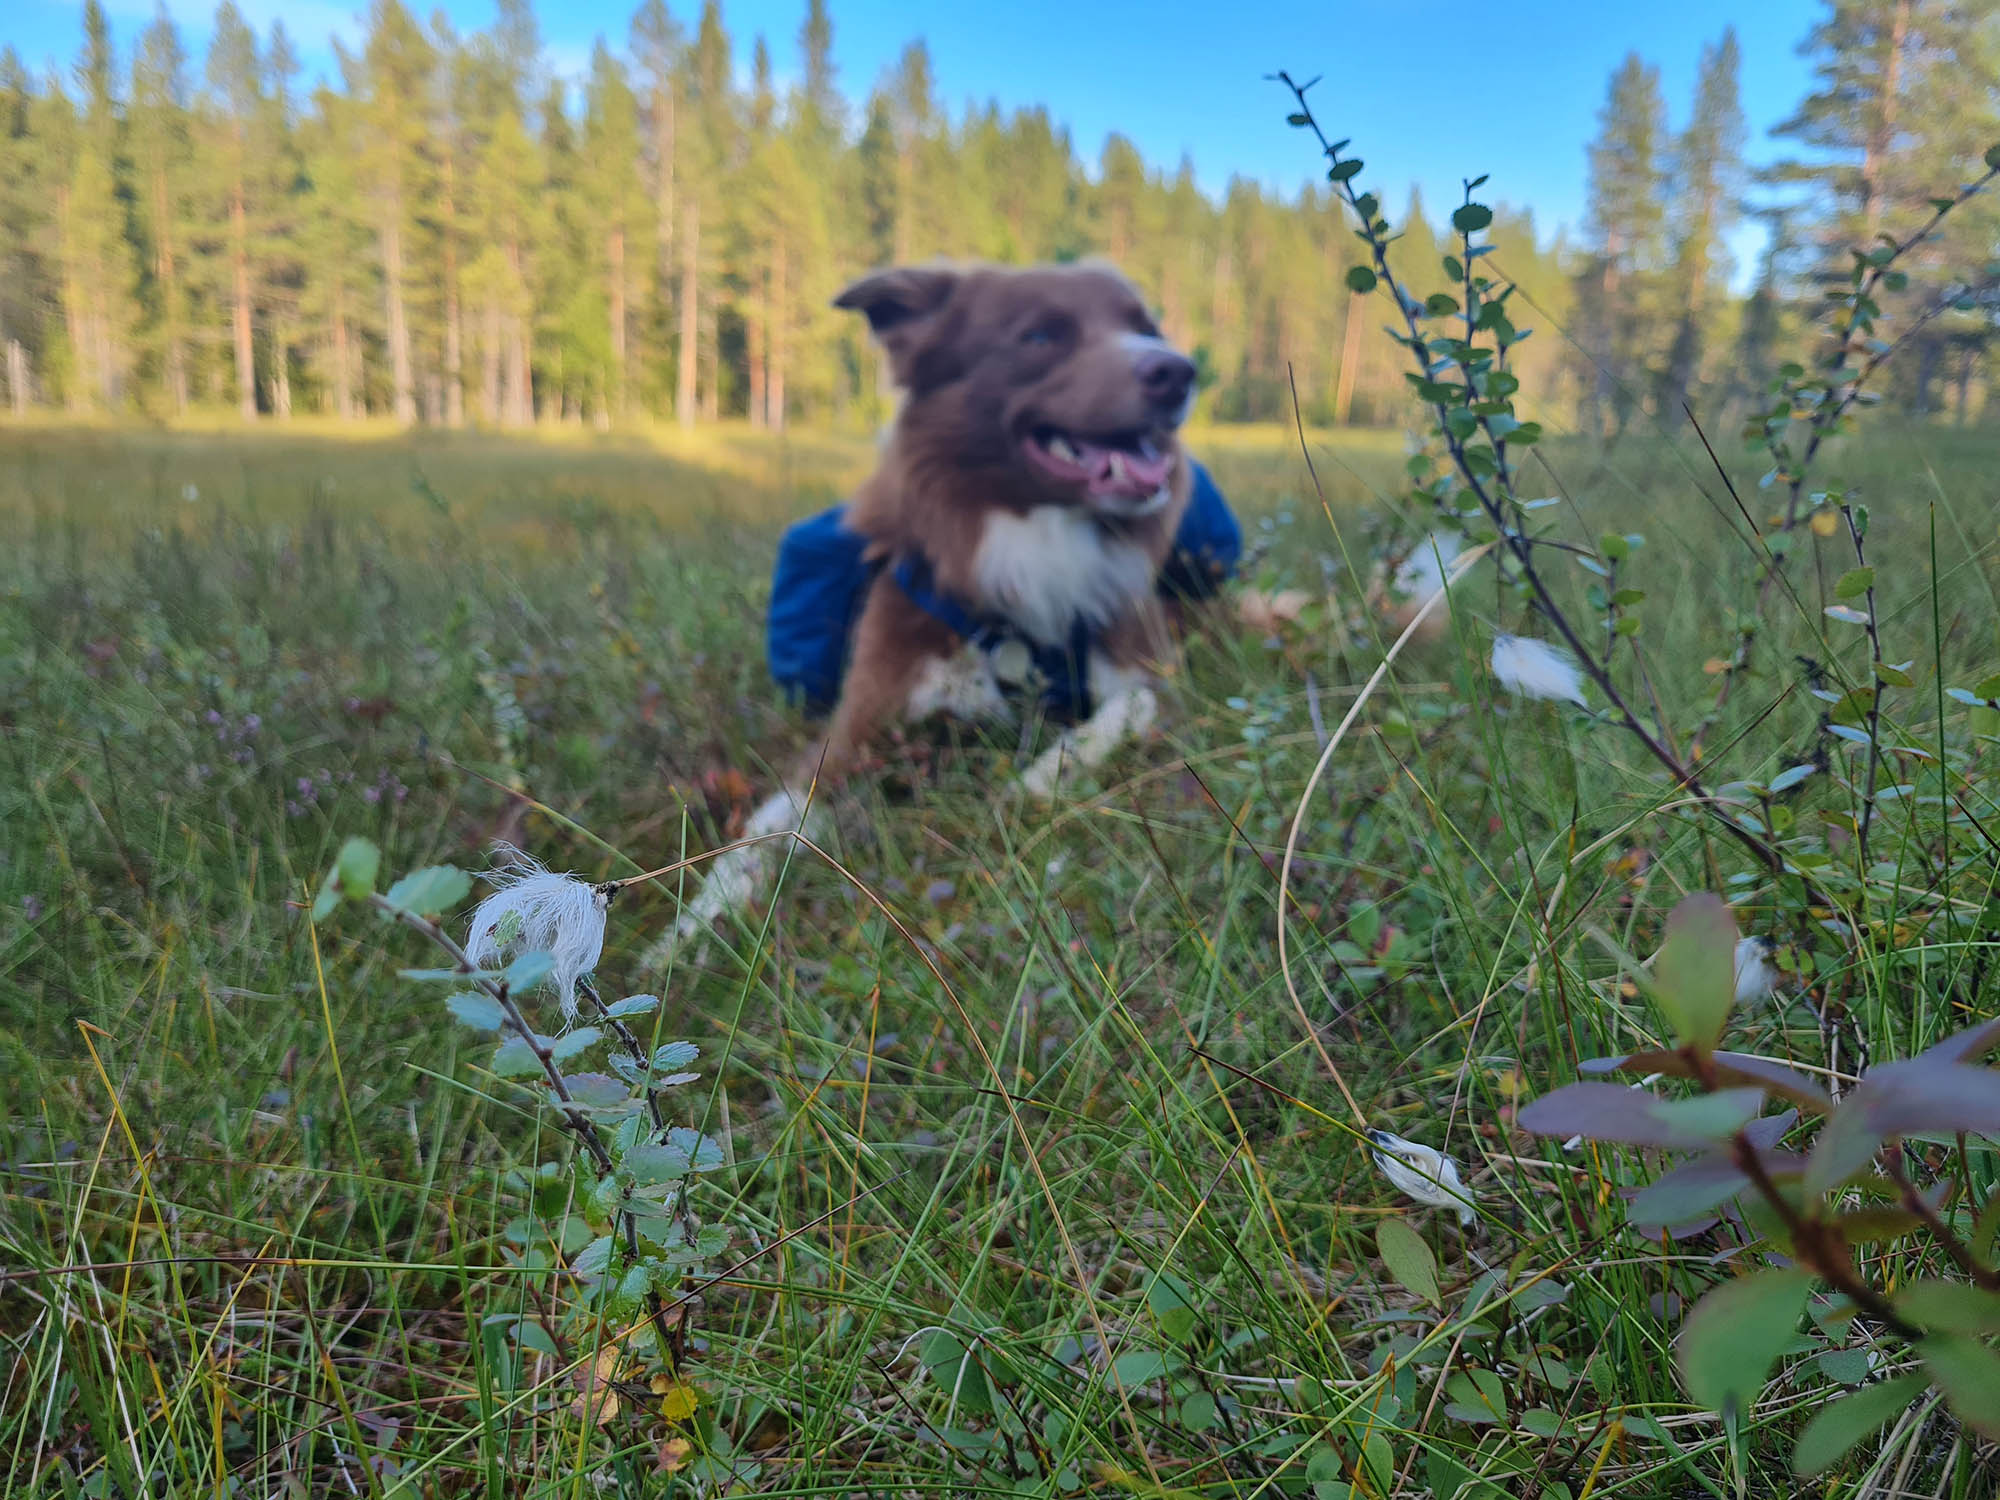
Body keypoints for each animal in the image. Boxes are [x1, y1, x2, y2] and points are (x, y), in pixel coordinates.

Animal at [652, 259, 1208, 958]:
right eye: (1039, 336)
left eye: (1146, 327)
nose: (1178, 371)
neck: (1030, 540)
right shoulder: (859, 728)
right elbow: (771, 827)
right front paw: (690, 929)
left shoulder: (1153, 670)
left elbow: (1135, 705)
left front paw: (1039, 779)